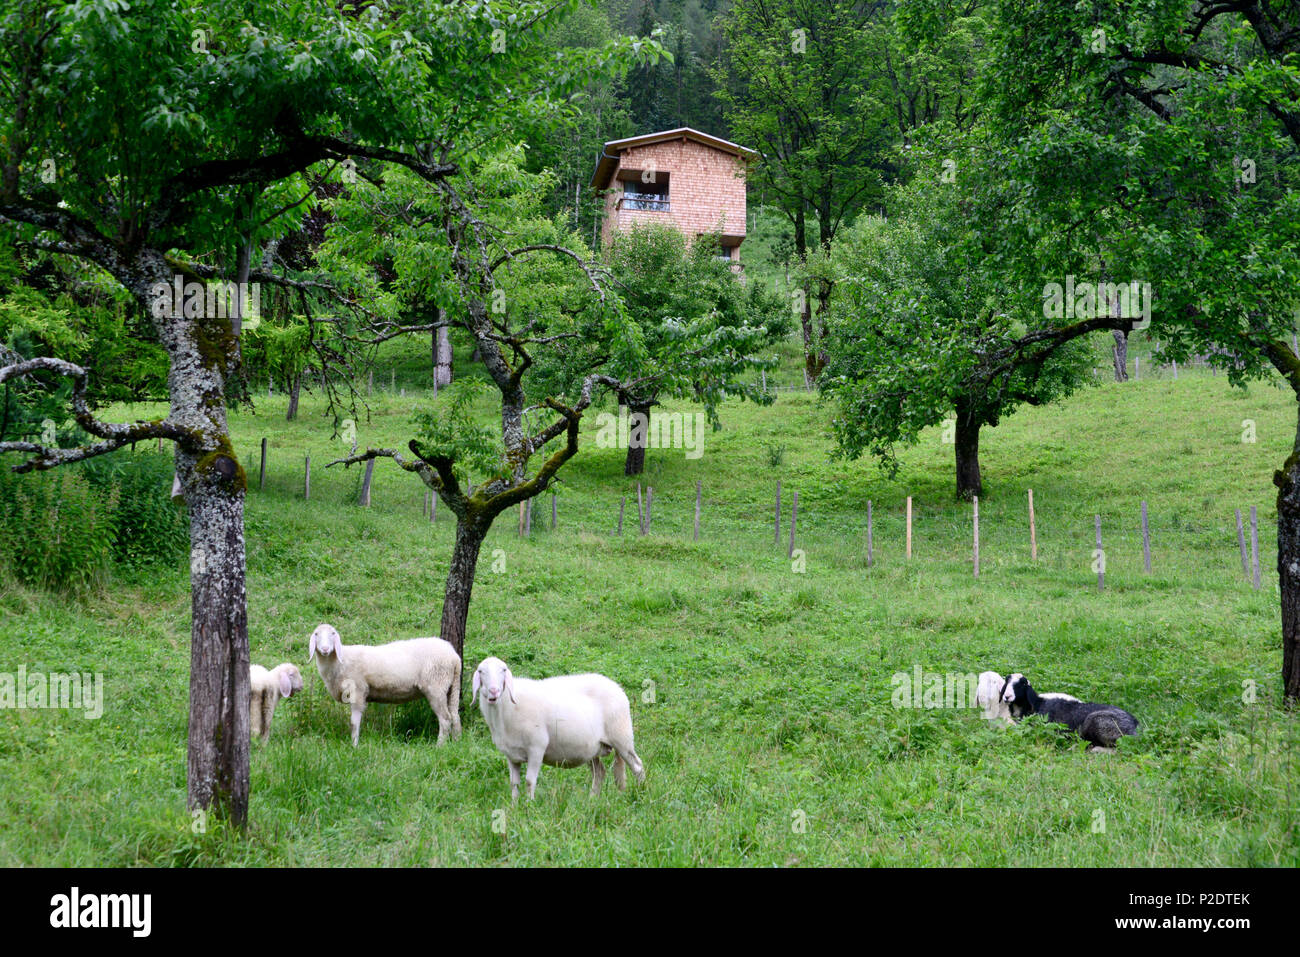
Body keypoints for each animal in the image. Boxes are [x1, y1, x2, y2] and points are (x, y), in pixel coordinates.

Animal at [305, 621, 462, 748]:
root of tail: (454, 657)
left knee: (445, 718)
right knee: (455, 715)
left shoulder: (358, 691)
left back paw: (439, 746)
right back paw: (456, 741)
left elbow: (354, 722)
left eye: (333, 634)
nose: (325, 649)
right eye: (316, 634)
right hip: (450, 686)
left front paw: (354, 746)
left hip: (436, 686)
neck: (341, 661)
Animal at [473, 657, 644, 800]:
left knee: (637, 766)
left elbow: (529, 781)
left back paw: (640, 794)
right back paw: (592, 800)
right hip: (593, 748)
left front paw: (529, 806)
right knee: (599, 772)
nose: (494, 691)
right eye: (481, 671)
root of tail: (616, 686)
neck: (507, 708)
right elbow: (514, 784)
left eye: (503, 670)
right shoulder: (511, 755)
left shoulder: (537, 747)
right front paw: (515, 807)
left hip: (622, 737)